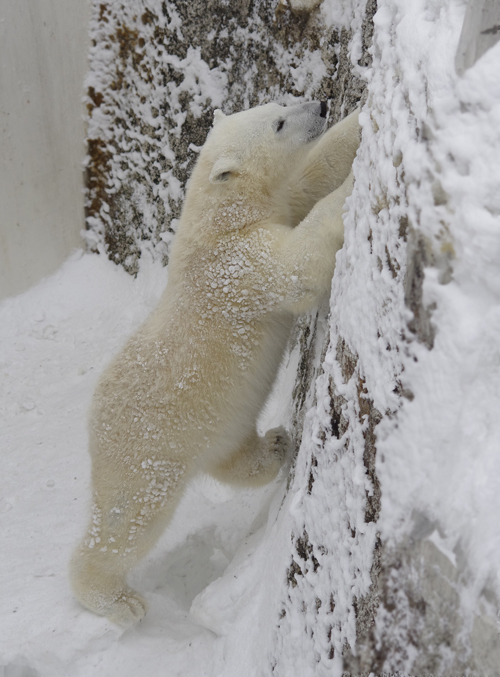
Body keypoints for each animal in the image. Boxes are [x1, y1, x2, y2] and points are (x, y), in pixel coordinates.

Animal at [70, 100, 360, 624]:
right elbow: (299, 264)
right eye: (279, 123)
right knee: (128, 516)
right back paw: (117, 601)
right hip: (148, 448)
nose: (322, 104)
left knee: (234, 455)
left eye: (282, 102)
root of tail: (93, 418)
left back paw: (277, 444)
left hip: (213, 424)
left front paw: (363, 120)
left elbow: (311, 175)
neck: (216, 218)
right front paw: (351, 186)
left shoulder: (270, 210)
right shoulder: (238, 265)